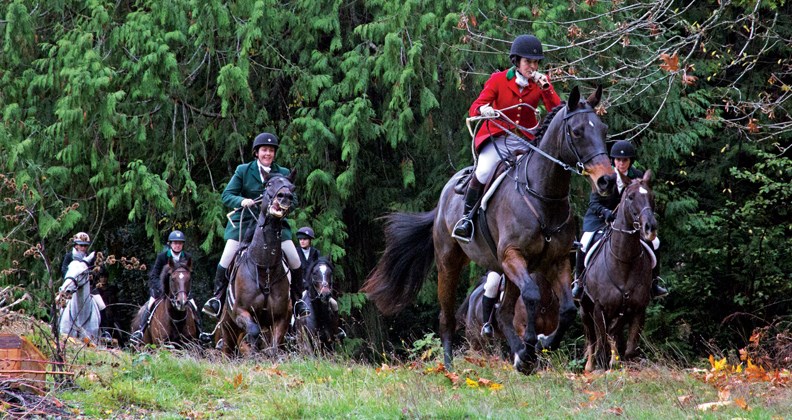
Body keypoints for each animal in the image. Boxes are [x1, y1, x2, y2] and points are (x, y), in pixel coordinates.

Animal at [213, 173, 294, 354]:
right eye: (269, 184)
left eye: (292, 187)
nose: (285, 196)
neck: (265, 268)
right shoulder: (240, 311)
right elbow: (254, 331)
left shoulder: (281, 317)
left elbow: (274, 347)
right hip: (228, 328)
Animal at [362, 85, 616, 370]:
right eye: (577, 131)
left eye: (603, 129)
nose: (607, 180)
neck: (542, 197)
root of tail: (443, 199)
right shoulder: (513, 256)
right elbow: (531, 295)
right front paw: (531, 346)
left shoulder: (556, 261)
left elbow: (568, 309)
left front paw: (539, 345)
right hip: (449, 264)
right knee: (447, 319)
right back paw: (451, 367)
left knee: (503, 312)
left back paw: (520, 356)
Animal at [580, 170, 660, 370]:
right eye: (630, 197)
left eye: (652, 196)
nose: (650, 228)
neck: (623, 261)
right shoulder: (598, 307)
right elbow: (601, 340)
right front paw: (602, 365)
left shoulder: (637, 308)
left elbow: (626, 345)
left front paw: (618, 362)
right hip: (585, 307)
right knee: (591, 336)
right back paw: (590, 365)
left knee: (610, 335)